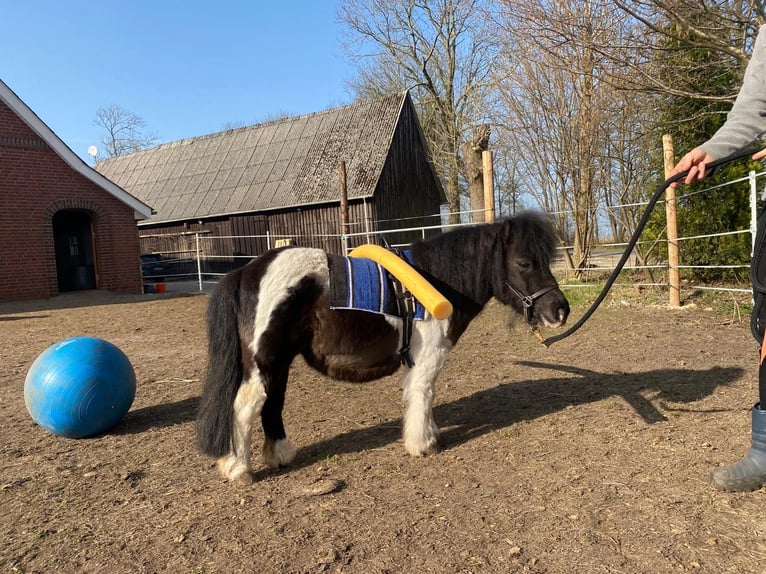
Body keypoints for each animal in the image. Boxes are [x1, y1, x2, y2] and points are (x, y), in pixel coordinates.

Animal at [196, 214, 568, 484]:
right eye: (524, 263)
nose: (560, 310)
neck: (437, 282)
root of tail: (246, 272)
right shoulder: (427, 358)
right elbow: (422, 394)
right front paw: (423, 444)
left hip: (279, 362)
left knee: (272, 403)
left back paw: (280, 455)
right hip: (264, 361)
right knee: (245, 406)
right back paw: (239, 470)